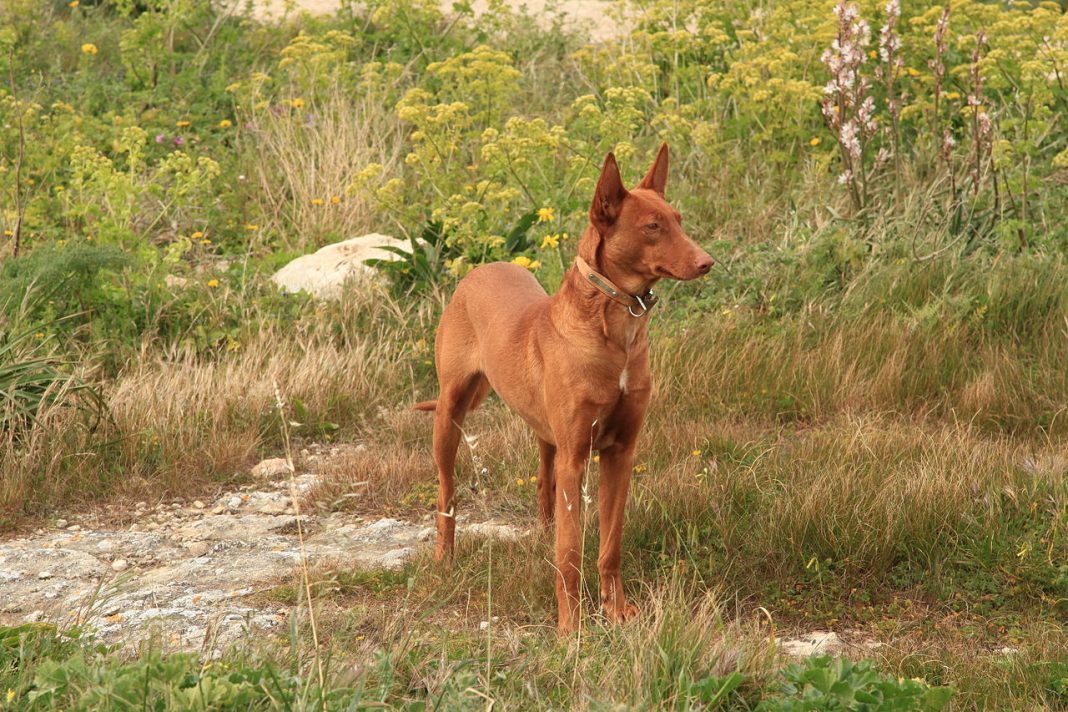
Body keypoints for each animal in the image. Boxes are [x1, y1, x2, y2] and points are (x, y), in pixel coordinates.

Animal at [414, 143, 709, 627]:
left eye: (679, 219)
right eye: (652, 226)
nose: (708, 263)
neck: (615, 333)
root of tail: (481, 268)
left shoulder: (620, 453)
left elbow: (609, 545)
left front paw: (616, 609)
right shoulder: (576, 458)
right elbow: (571, 552)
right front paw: (570, 627)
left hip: (545, 435)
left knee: (542, 485)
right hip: (449, 415)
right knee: (446, 493)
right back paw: (444, 558)